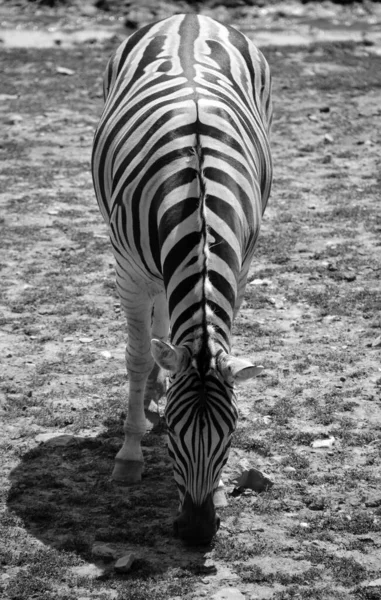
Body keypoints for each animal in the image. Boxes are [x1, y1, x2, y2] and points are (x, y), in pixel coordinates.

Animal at [91, 11, 270, 548]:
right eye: (173, 434)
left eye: (231, 435)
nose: (195, 531)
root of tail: (189, 16)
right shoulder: (127, 271)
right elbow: (136, 355)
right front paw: (129, 456)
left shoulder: (240, 267)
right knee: (156, 328)